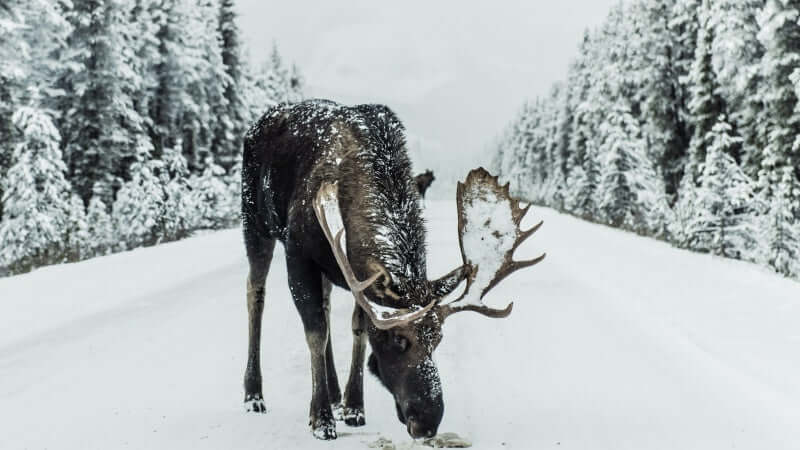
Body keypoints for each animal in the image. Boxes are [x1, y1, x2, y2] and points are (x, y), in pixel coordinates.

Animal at [241, 99, 545, 440]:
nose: (427, 422)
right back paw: (254, 394)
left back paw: (334, 392)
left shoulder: (355, 274)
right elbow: (315, 332)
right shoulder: (298, 252)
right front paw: (320, 419)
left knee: (326, 303)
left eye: (438, 338)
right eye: (399, 339)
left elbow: (358, 329)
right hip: (255, 223)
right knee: (256, 293)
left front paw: (354, 406)